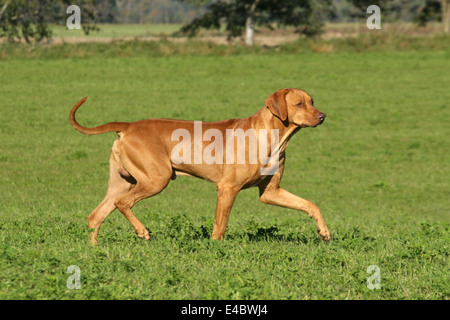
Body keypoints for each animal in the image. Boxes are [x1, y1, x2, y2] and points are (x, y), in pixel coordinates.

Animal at [70, 89, 330, 244]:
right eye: (298, 103)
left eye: (312, 102)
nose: (323, 116)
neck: (271, 136)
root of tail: (128, 126)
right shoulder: (227, 188)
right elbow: (220, 225)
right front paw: (217, 249)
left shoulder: (271, 192)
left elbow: (311, 205)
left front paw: (324, 232)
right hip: (156, 179)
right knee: (122, 203)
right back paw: (142, 231)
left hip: (123, 182)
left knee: (96, 216)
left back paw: (96, 252)